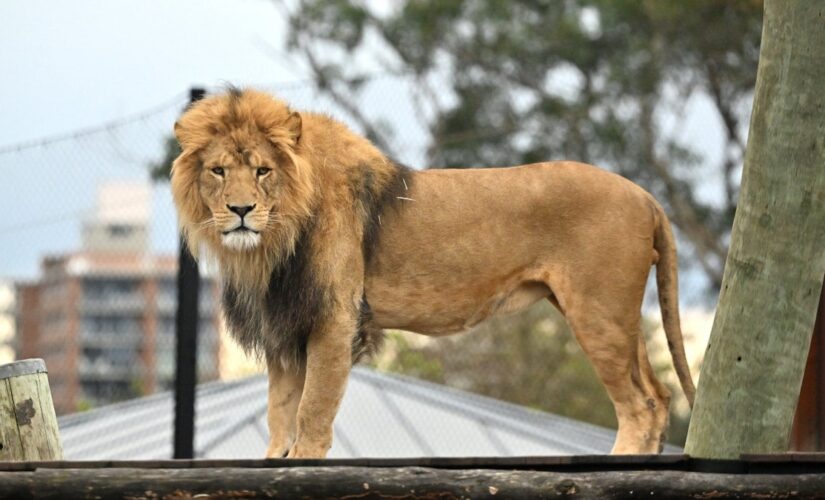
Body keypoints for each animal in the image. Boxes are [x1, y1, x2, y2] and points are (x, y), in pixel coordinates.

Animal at [172, 88, 696, 458]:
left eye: (262, 171)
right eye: (218, 171)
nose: (241, 211)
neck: (271, 244)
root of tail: (645, 196)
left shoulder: (333, 319)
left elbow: (311, 413)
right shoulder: (285, 327)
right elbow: (279, 416)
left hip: (597, 311)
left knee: (641, 404)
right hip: (617, 316)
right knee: (660, 395)